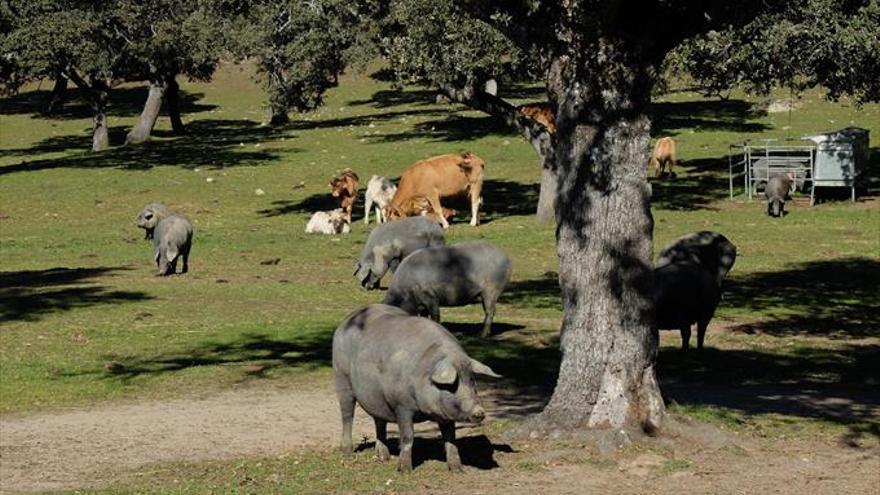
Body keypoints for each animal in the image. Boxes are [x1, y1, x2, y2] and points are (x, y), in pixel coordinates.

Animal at [334, 302, 502, 472]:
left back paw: (383, 457)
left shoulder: (445, 413)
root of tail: (346, 321)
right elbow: (408, 436)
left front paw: (457, 470)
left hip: (376, 397)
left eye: (472, 381)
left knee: (379, 421)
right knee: (347, 415)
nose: (479, 411)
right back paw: (347, 452)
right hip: (341, 377)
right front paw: (404, 470)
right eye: (452, 385)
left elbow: (450, 438)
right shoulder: (401, 405)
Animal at [382, 240, 512, 338]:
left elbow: (435, 315)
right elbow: (425, 316)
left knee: (490, 311)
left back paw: (481, 335)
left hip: (491, 290)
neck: (405, 292)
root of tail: (506, 258)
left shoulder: (430, 295)